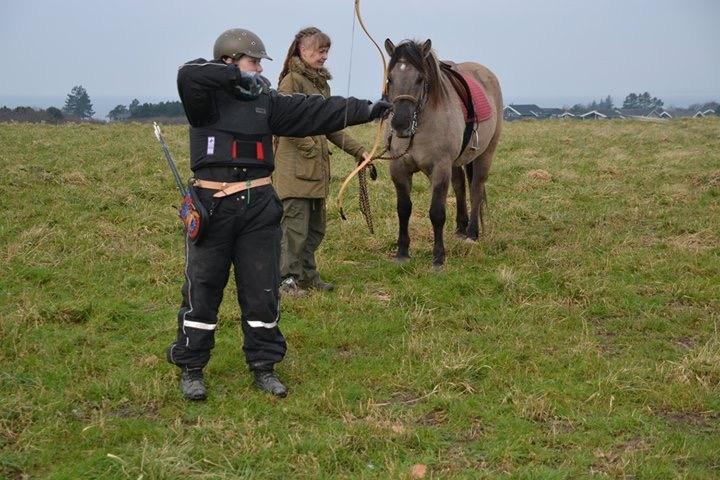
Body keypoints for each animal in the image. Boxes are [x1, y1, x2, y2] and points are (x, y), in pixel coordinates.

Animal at [382, 38, 500, 266]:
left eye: (420, 78)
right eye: (390, 78)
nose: (400, 123)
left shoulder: (440, 168)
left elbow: (437, 212)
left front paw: (438, 257)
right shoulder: (399, 168)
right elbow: (403, 209)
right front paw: (402, 252)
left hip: (485, 154)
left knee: (476, 188)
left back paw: (471, 233)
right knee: (460, 185)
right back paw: (461, 228)